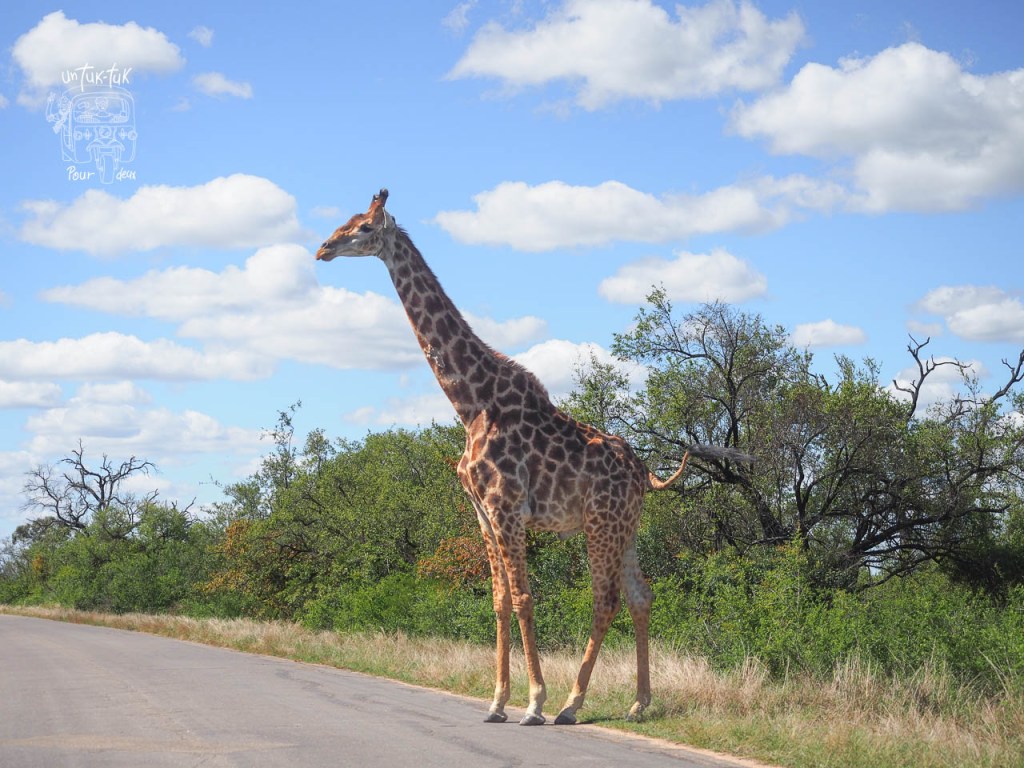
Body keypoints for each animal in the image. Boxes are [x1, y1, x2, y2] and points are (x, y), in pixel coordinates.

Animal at [316, 189, 751, 725]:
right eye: (348, 221)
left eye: (364, 228)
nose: (323, 248)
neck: (470, 404)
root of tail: (646, 475)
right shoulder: (482, 512)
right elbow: (500, 601)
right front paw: (496, 701)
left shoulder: (506, 507)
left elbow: (524, 598)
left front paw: (533, 701)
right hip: (625, 526)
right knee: (640, 596)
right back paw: (637, 703)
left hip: (599, 524)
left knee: (605, 599)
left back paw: (570, 704)